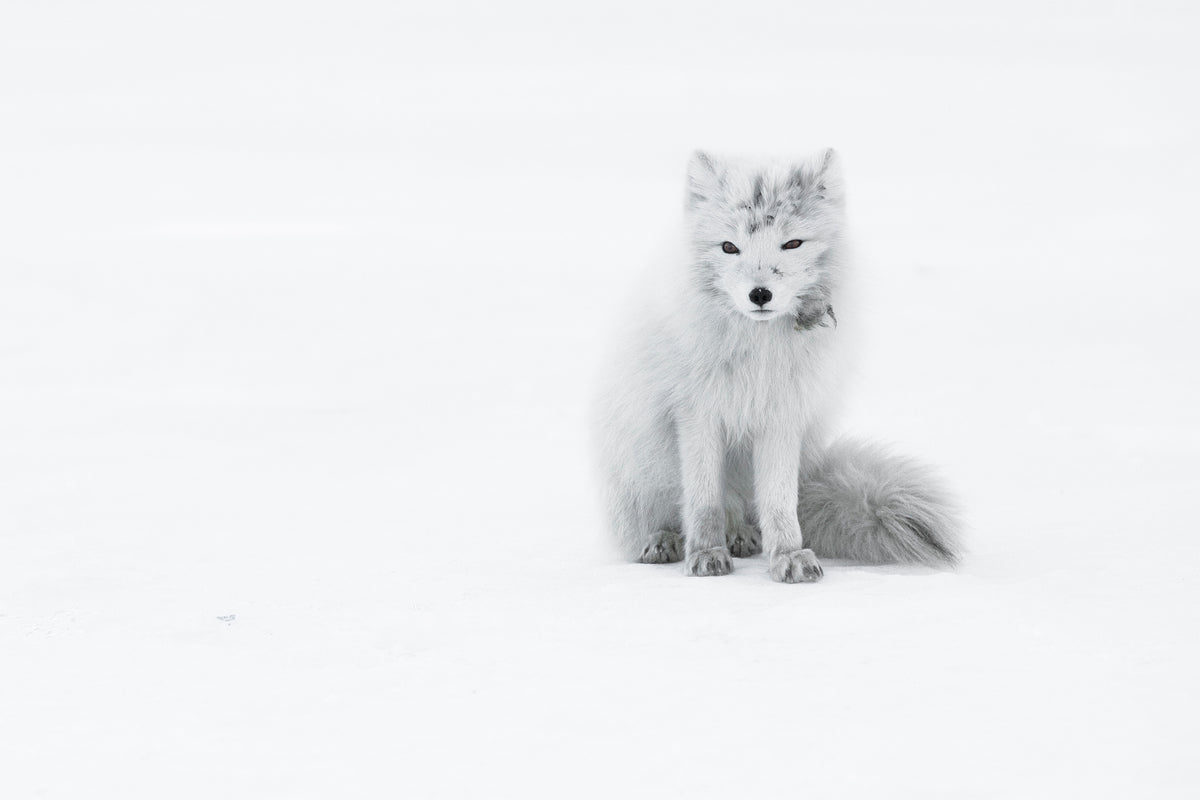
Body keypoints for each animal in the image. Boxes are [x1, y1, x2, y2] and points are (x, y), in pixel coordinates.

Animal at [594, 149, 961, 582]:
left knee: (746, 511)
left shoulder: (783, 415)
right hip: (639, 462)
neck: (757, 352)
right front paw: (706, 554)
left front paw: (787, 555)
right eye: (729, 247)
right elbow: (703, 499)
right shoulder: (696, 414)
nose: (759, 294)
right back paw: (664, 540)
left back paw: (741, 535)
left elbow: (780, 502)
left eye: (792, 243)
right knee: (659, 516)